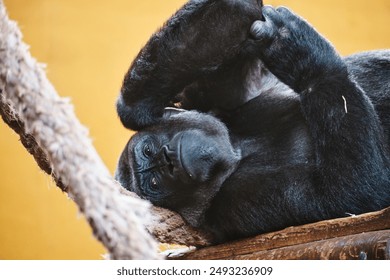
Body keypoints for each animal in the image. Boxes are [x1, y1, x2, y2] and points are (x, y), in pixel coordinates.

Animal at [114, 0, 390, 243]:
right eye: (154, 182)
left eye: (148, 150)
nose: (167, 159)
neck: (238, 147)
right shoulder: (234, 204)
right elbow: (351, 193)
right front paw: (309, 64)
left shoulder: (210, 101)